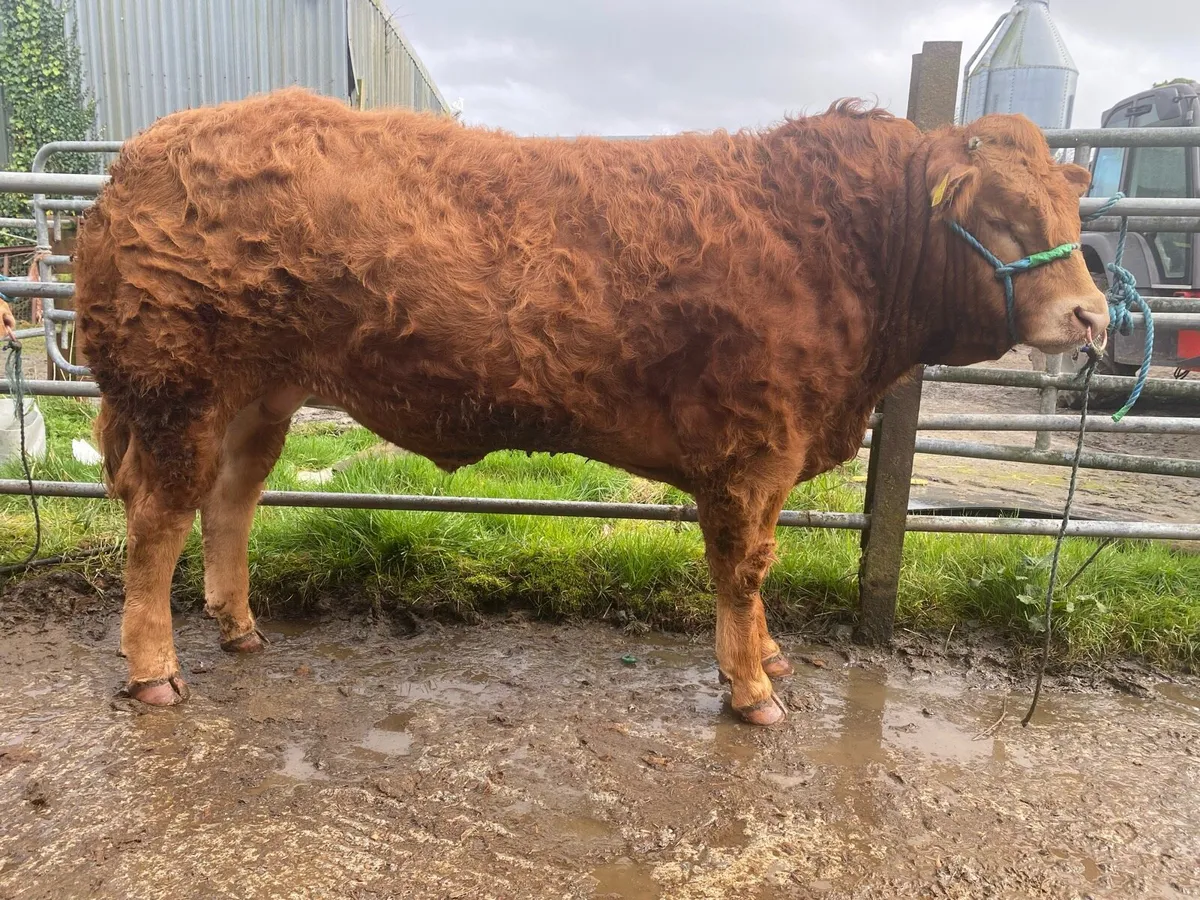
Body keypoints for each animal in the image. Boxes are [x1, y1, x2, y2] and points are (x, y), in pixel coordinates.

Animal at [71, 88, 1107, 726]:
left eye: (1071, 211)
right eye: (1005, 215)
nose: (1094, 314)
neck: (835, 244)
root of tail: (141, 156)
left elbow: (756, 572)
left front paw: (768, 658)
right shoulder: (751, 451)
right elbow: (744, 568)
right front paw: (750, 689)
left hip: (260, 397)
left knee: (232, 502)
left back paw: (238, 627)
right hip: (178, 391)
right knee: (159, 520)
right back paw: (155, 672)